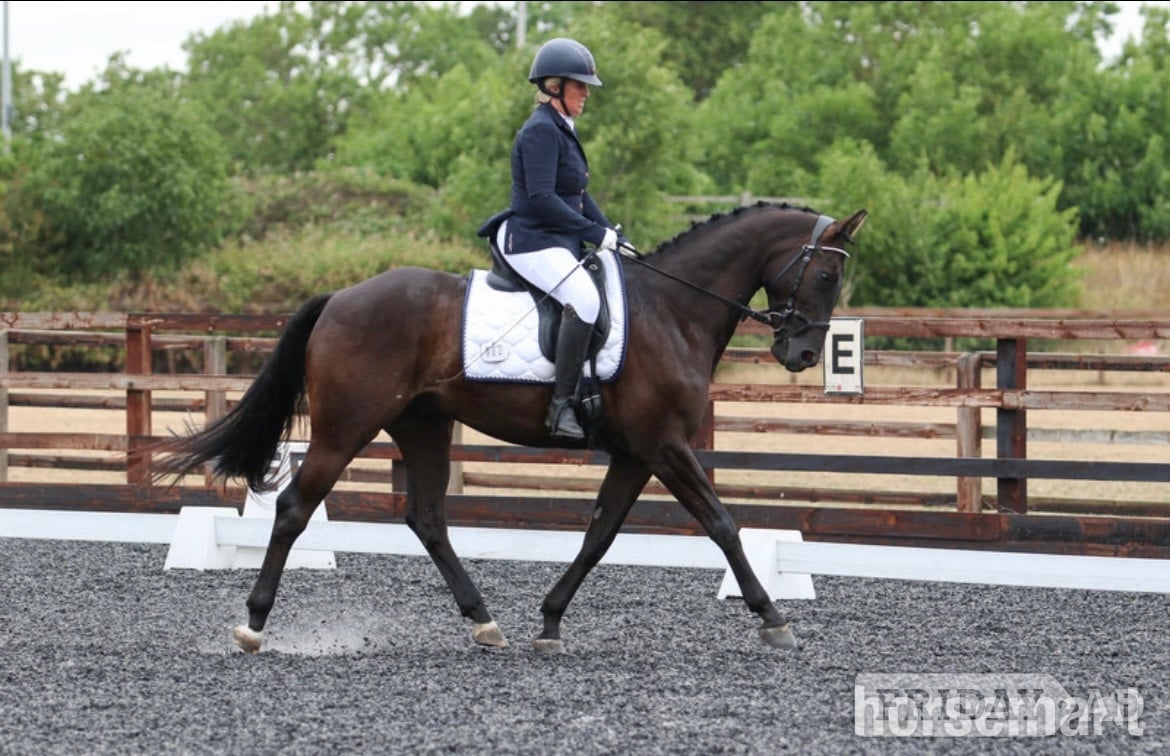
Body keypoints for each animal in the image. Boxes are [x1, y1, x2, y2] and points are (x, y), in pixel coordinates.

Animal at [153, 202, 868, 655]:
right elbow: (721, 524)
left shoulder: (636, 453)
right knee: (296, 508)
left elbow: (600, 535)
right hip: (346, 425)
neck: (673, 309)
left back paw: (484, 622)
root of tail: (341, 298)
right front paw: (772, 617)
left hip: (422, 425)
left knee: (428, 518)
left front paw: (549, 623)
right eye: (827, 273)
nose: (803, 354)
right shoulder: (665, 446)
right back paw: (254, 625)